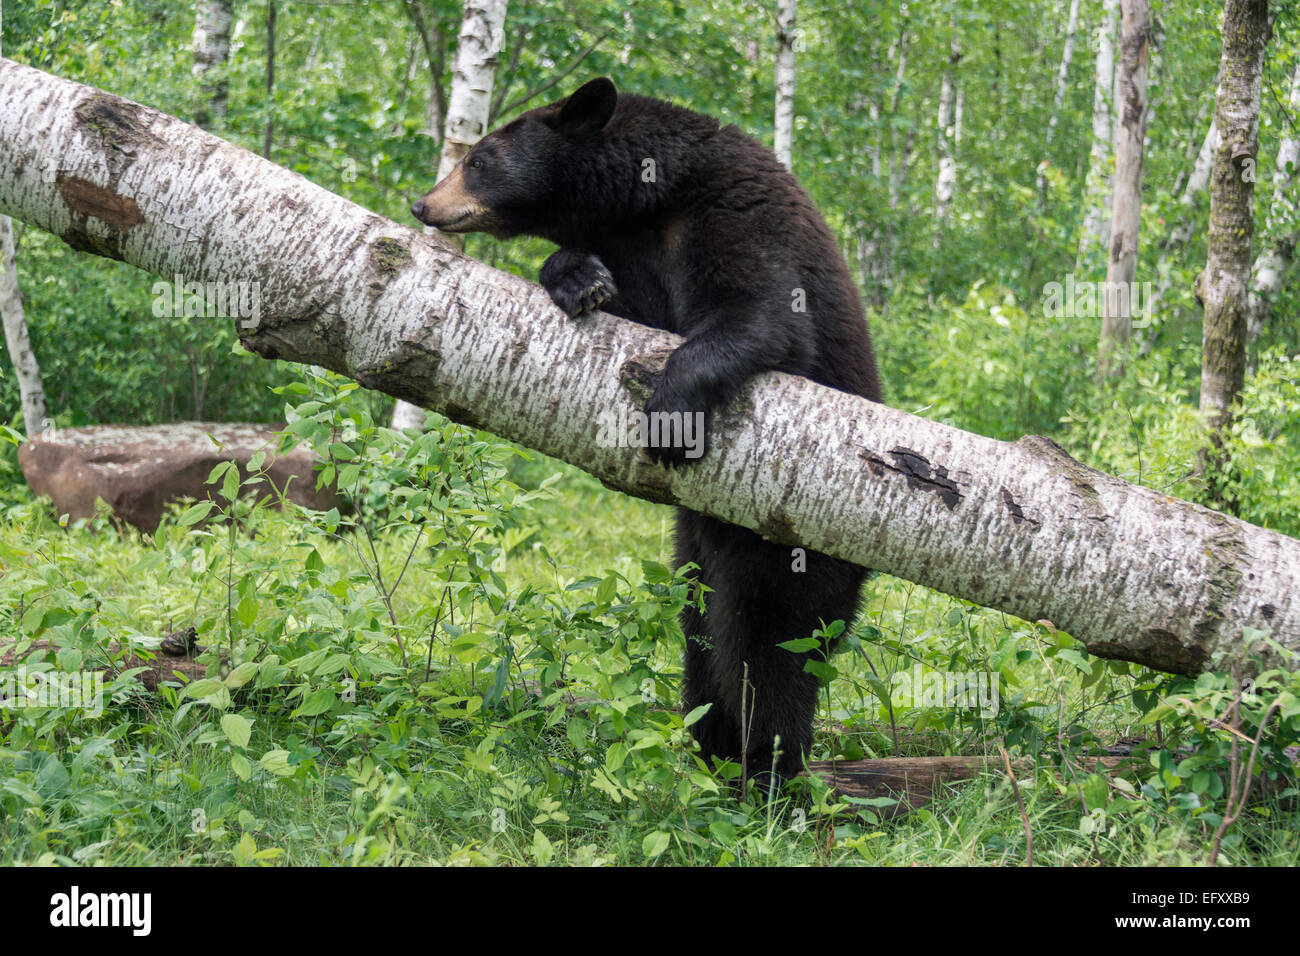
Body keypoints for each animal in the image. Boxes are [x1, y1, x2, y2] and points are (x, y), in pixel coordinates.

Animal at [416, 80, 883, 785]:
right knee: (702, 640)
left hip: (793, 547)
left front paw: (669, 416)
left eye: (479, 159)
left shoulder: (737, 214)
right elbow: (633, 310)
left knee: (774, 645)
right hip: (696, 549)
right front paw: (578, 278)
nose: (423, 203)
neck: (650, 197)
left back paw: (769, 769)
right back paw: (713, 748)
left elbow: (764, 314)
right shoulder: (636, 254)